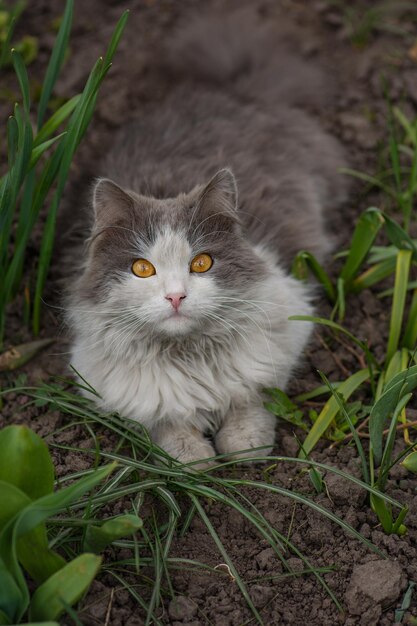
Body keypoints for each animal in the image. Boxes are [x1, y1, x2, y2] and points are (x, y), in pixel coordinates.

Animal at [65, 8, 348, 464]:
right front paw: (193, 458)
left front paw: (245, 448)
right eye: (142, 269)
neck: (190, 358)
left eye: (201, 263)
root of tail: (229, 90)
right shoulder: (112, 385)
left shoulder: (285, 331)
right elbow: (167, 424)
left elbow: (250, 400)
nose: (176, 297)